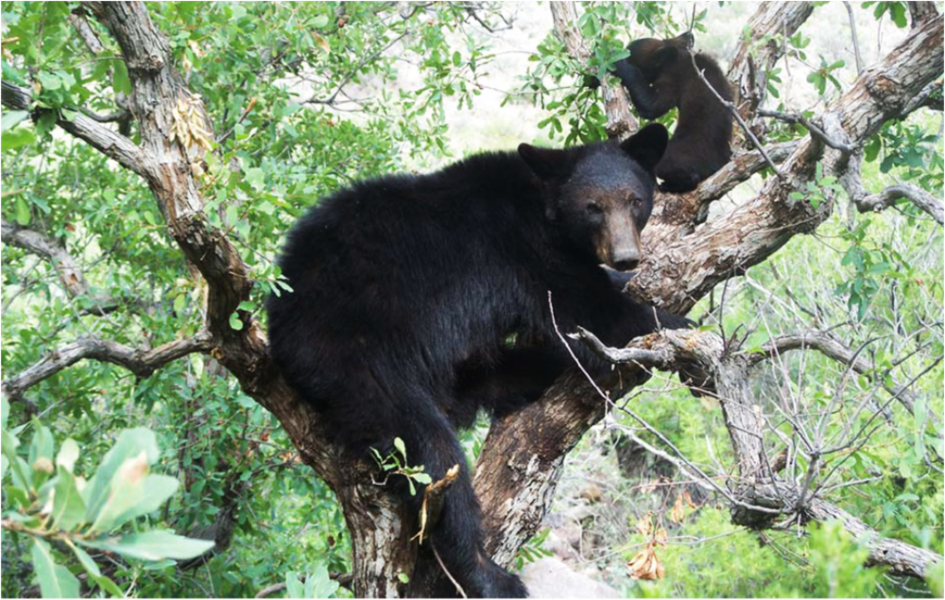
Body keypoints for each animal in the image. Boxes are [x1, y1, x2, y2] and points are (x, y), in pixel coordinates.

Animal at [266, 122, 684, 596]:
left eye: (635, 200)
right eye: (593, 207)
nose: (626, 255)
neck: (542, 205)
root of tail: (277, 316)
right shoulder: (529, 252)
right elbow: (594, 310)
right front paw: (682, 324)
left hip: (451, 368)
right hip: (353, 353)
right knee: (432, 452)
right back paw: (487, 572)